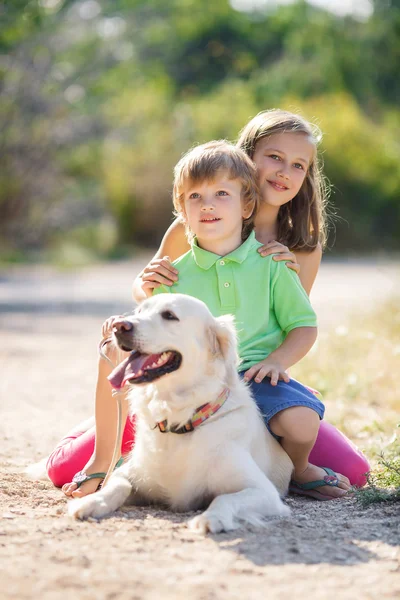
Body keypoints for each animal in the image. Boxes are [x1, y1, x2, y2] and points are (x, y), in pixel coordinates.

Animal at [69, 292, 292, 532]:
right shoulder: (129, 471)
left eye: (169, 315)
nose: (119, 326)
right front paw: (91, 502)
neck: (178, 419)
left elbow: (224, 498)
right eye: (139, 311)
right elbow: (117, 485)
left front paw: (210, 518)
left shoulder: (265, 492)